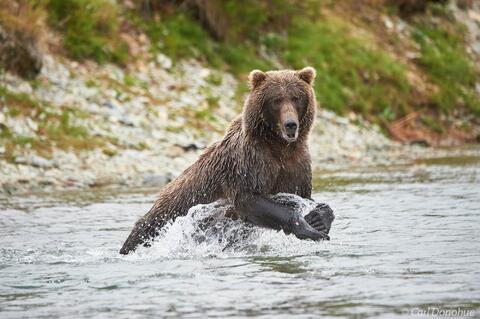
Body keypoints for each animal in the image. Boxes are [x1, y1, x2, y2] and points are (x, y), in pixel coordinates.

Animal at [119, 67, 334, 255]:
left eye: (296, 97)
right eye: (276, 99)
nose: (290, 124)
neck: (279, 146)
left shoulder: (296, 164)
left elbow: (304, 196)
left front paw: (319, 217)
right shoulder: (250, 161)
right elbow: (248, 198)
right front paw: (306, 228)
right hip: (163, 220)